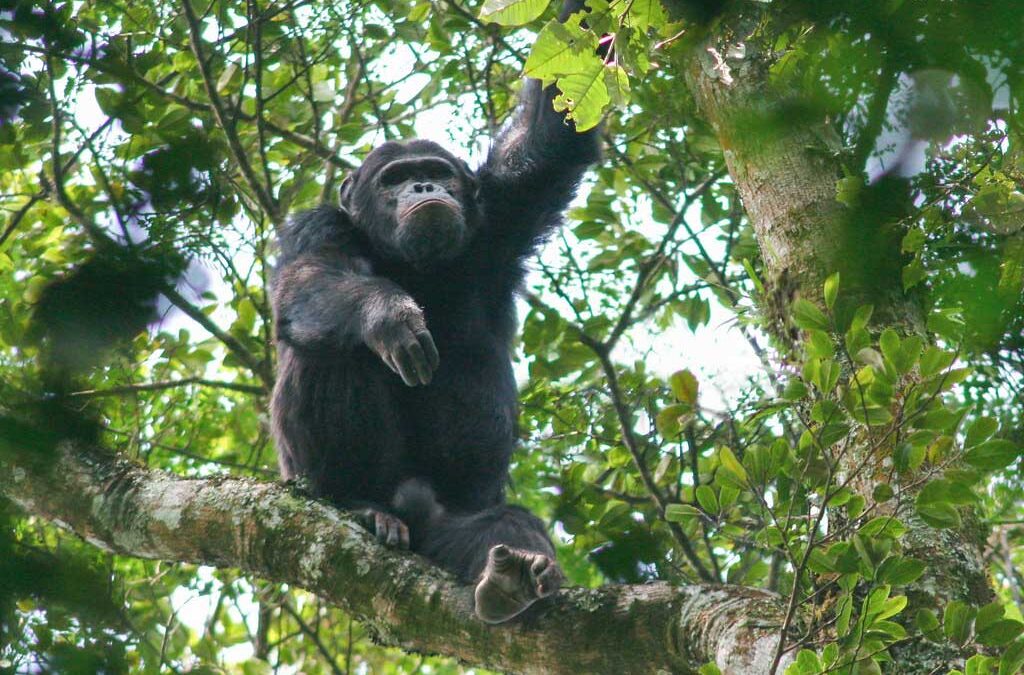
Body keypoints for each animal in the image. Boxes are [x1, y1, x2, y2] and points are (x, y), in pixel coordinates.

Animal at [272, 0, 598, 626]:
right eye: (395, 177)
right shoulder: (317, 227)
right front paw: (388, 315)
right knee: (328, 352)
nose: (424, 185)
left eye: (438, 171)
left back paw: (514, 576)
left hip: (453, 529)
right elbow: (308, 281)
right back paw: (363, 506)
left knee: (502, 523)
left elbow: (551, 135)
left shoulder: (503, 212)